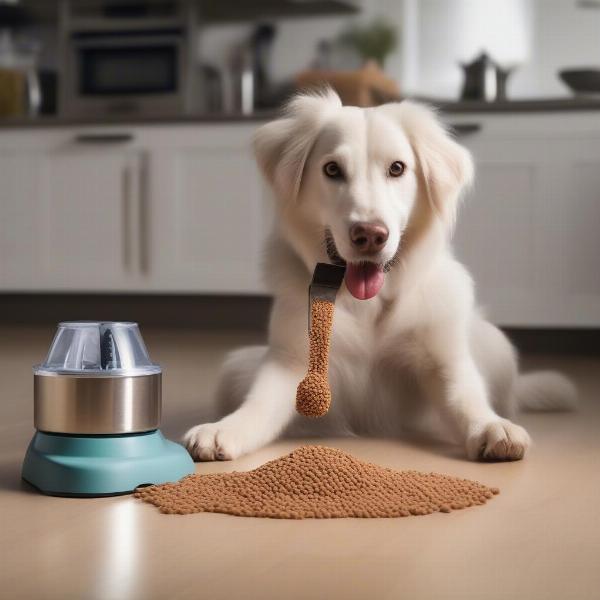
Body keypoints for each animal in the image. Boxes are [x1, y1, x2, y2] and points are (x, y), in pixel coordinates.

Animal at [184, 89, 576, 462]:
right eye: (332, 169)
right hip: (235, 367)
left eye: (397, 168)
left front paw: (493, 428)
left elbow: (466, 400)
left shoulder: (444, 363)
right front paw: (222, 429)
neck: (367, 304)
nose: (370, 235)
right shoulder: (292, 363)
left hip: (497, 345)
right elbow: (258, 406)